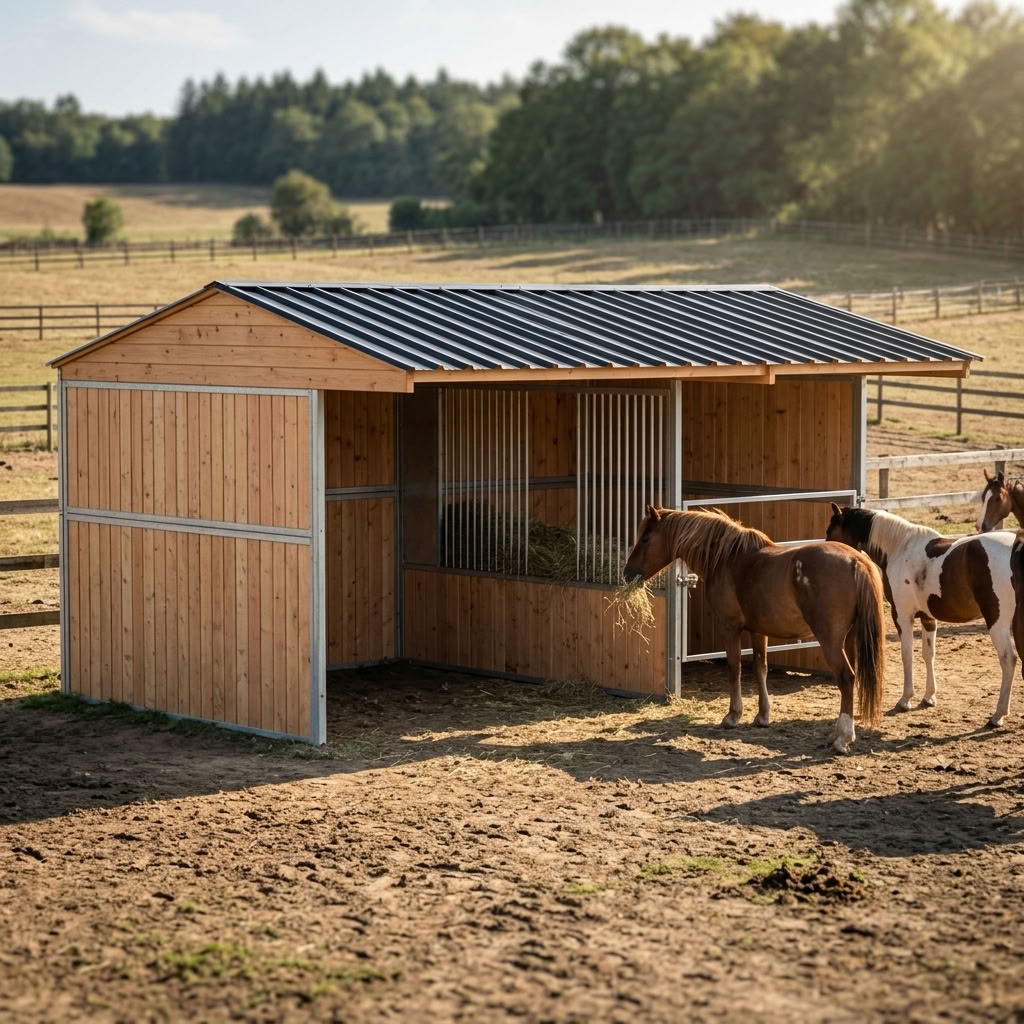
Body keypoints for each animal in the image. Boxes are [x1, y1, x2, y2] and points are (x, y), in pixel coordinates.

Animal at [623, 506, 886, 753]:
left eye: (645, 538)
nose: (627, 573)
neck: (728, 559)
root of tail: (856, 561)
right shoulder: (759, 631)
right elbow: (761, 669)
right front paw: (762, 716)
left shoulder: (729, 627)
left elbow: (735, 668)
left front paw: (733, 715)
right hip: (850, 639)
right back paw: (836, 734)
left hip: (831, 641)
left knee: (846, 678)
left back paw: (843, 738)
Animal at [826, 504, 1019, 726]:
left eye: (830, 532)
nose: (826, 549)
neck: (900, 547)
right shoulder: (928, 618)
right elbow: (929, 654)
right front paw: (929, 697)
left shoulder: (902, 617)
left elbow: (907, 655)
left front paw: (905, 699)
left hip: (997, 622)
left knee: (1008, 659)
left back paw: (998, 715)